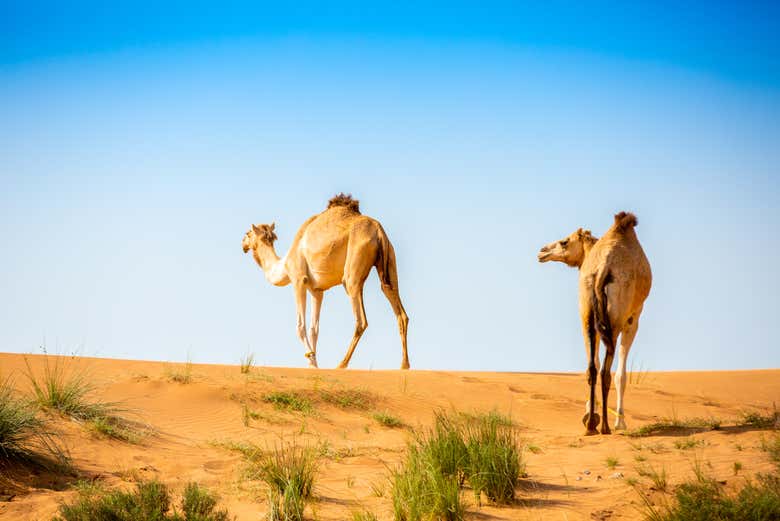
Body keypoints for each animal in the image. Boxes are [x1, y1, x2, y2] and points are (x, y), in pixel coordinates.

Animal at [242, 194, 412, 370]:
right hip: (390, 259)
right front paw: (314, 361)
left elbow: (300, 326)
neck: (284, 264)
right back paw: (404, 364)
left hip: (353, 267)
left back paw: (342, 364)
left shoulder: (298, 279)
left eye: (248, 233)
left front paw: (311, 360)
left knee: (361, 319)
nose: (243, 244)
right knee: (397, 306)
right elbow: (314, 329)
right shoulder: (317, 290)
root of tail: (379, 232)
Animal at [536, 211, 652, 434]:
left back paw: (591, 425)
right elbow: (621, 375)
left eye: (564, 242)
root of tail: (603, 267)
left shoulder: (596, 320)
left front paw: (590, 413)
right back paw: (606, 426)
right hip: (615, 318)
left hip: (587, 312)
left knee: (592, 368)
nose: (541, 252)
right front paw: (620, 422)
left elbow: (594, 363)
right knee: (607, 372)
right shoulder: (633, 319)